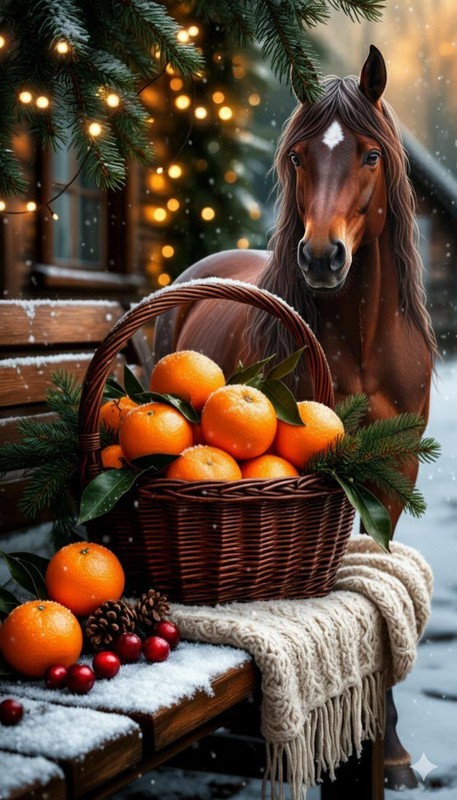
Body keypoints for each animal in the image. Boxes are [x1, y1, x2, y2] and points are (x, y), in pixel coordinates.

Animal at [154, 45, 437, 788]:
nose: (320, 256)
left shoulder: (394, 469)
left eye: (370, 155)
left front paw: (392, 750)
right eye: (300, 157)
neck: (362, 341)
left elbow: (374, 579)